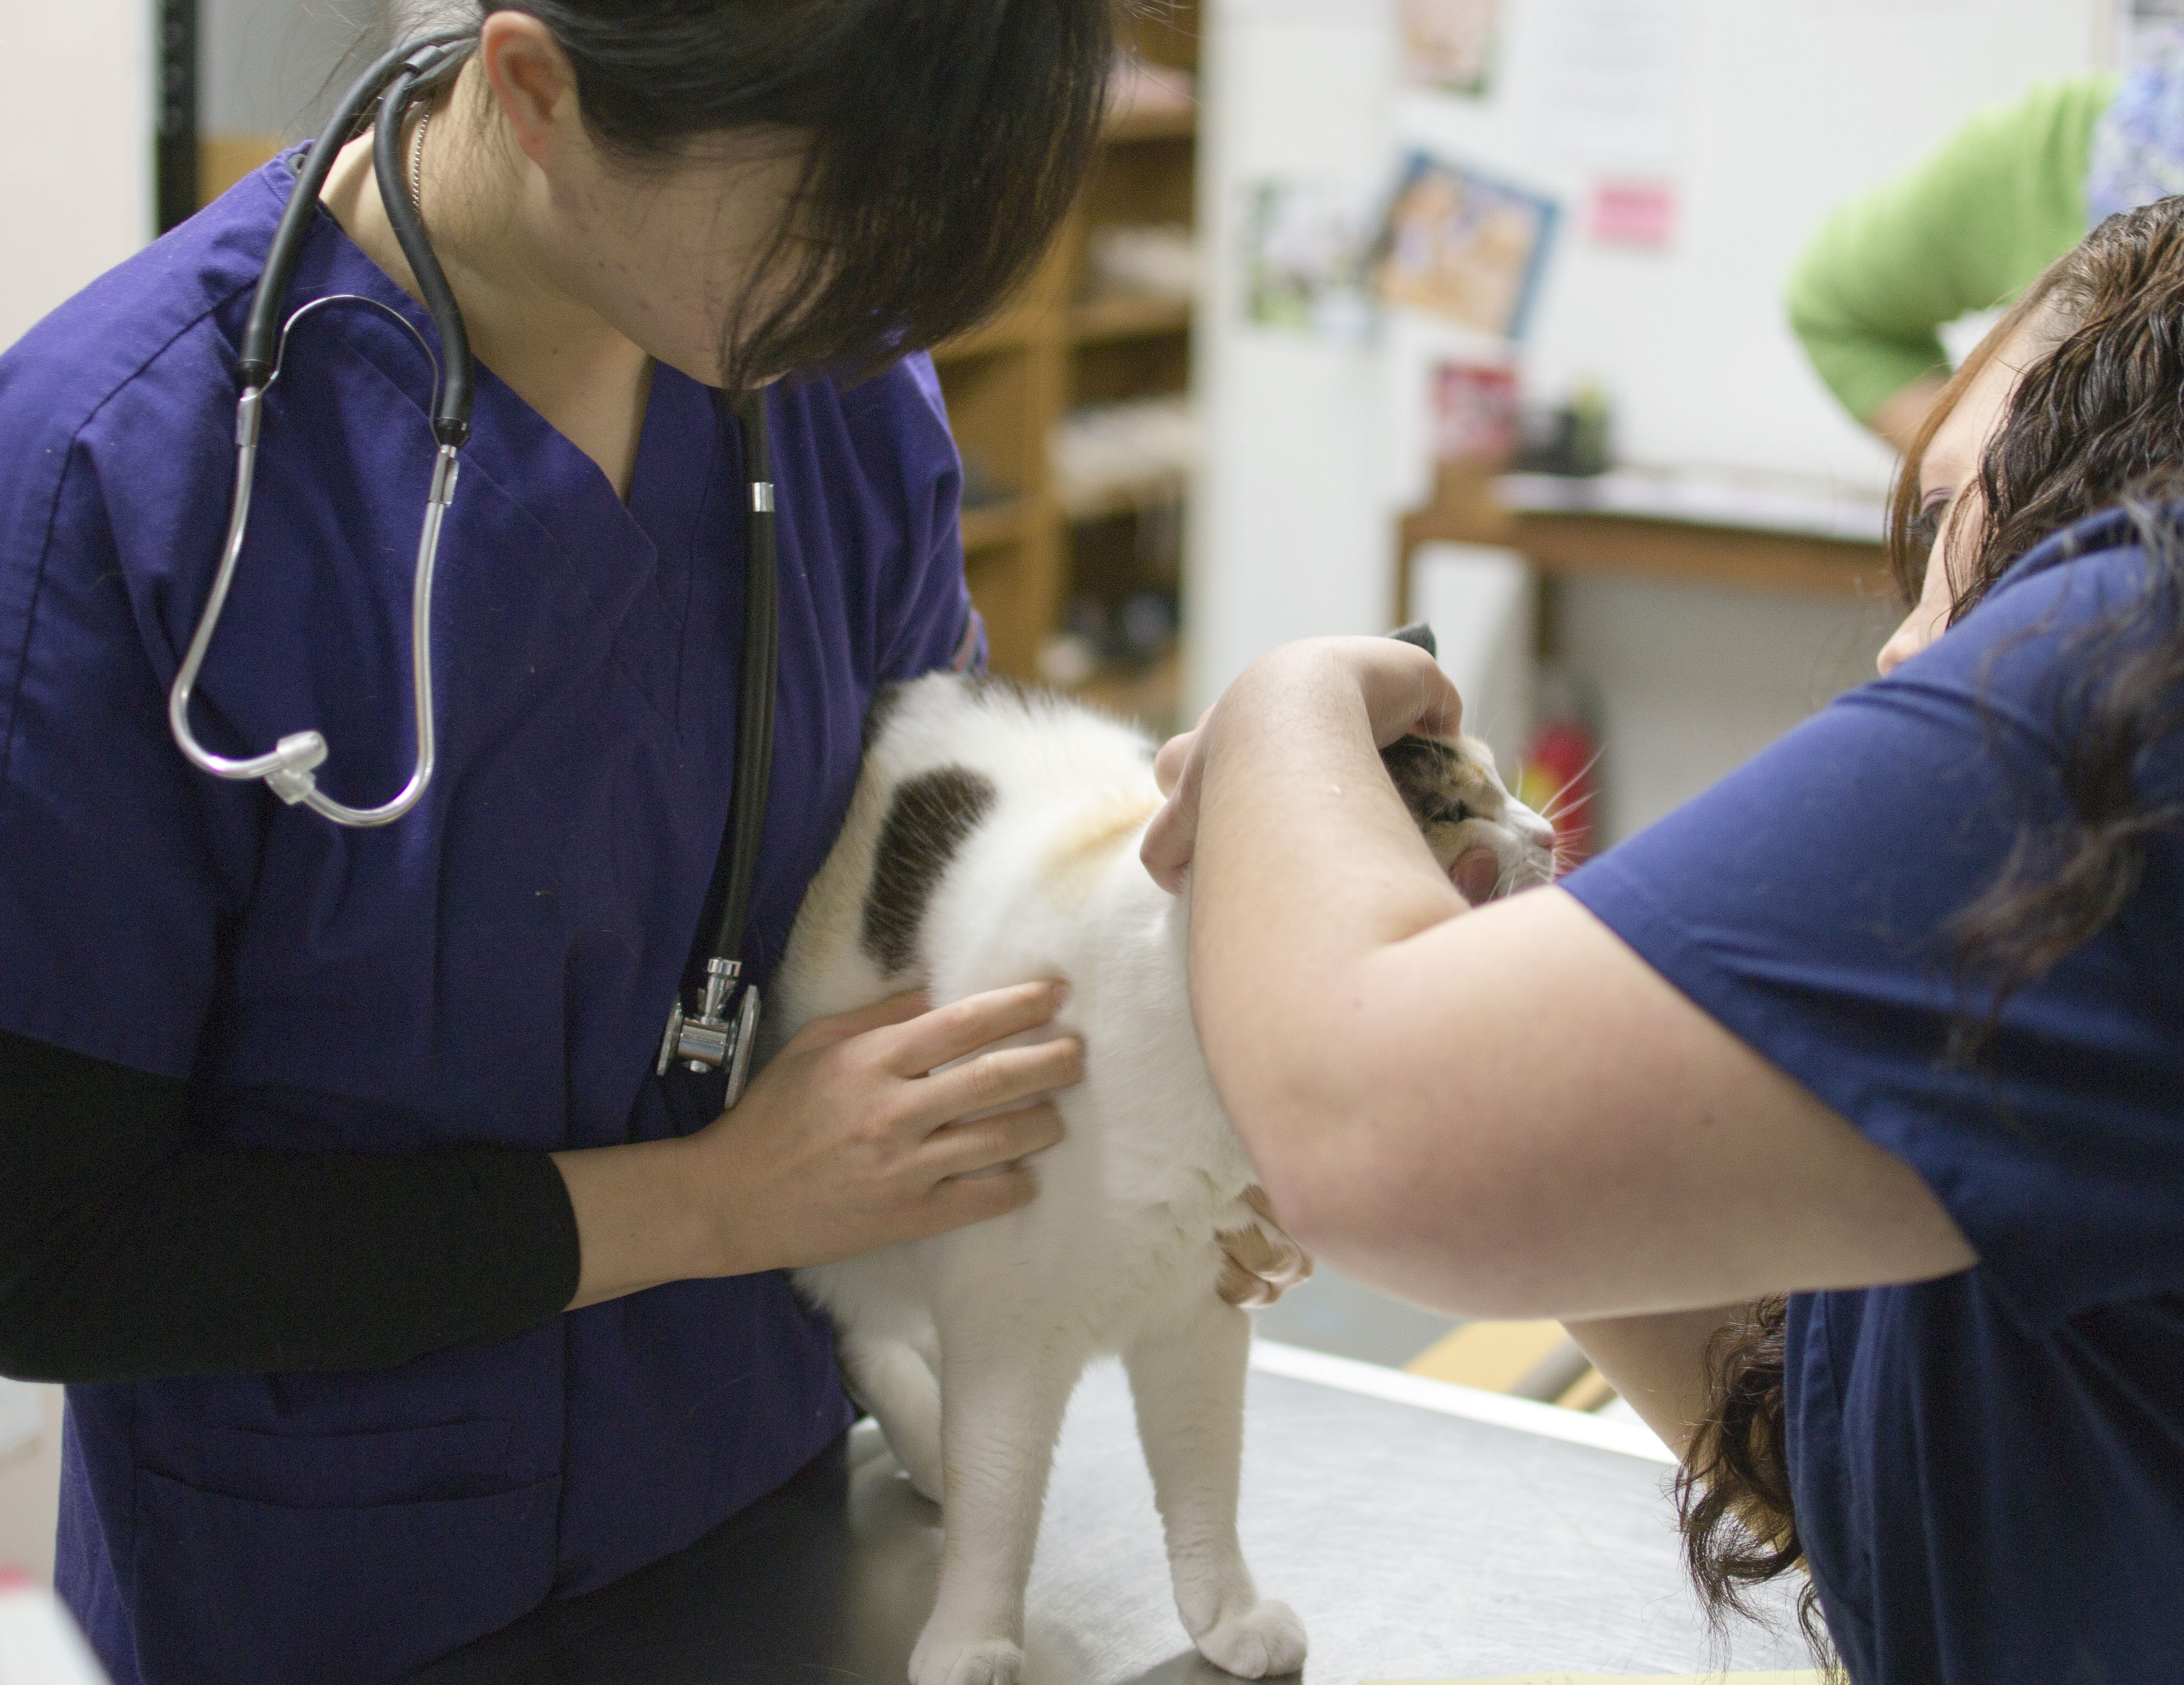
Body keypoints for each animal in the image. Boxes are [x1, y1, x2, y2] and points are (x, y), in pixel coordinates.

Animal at [769, 668, 1555, 1685]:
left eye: (1499, 786)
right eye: (1458, 810)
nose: (1548, 834)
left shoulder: (1196, 1319)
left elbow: (1203, 1485)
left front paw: (1225, 1614)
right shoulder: (1008, 1333)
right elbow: (999, 1500)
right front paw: (971, 1639)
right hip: (868, 1233)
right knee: (863, 1328)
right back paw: (926, 1444)